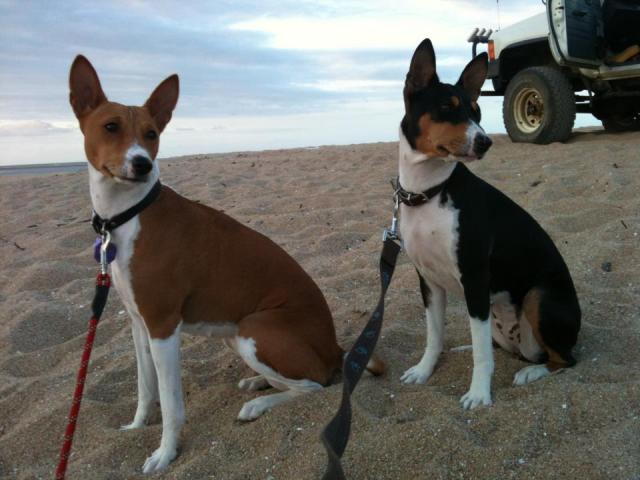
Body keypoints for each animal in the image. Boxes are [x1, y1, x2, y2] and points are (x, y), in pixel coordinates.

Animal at [70, 56, 380, 472]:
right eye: (110, 127)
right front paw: (136, 427)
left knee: (314, 384)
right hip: (236, 334)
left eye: (151, 133)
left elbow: (171, 404)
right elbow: (144, 388)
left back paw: (258, 403)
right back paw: (257, 382)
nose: (142, 164)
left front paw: (165, 454)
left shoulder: (163, 326)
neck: (128, 215)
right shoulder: (139, 323)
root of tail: (334, 348)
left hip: (254, 329)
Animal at [396, 39, 580, 408]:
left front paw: (479, 393)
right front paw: (424, 370)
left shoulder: (475, 279)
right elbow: (434, 336)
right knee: (499, 346)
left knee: (562, 359)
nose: (485, 141)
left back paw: (530, 373)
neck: (429, 193)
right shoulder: (429, 281)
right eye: (446, 107)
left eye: (476, 112)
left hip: (538, 296)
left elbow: (482, 356)